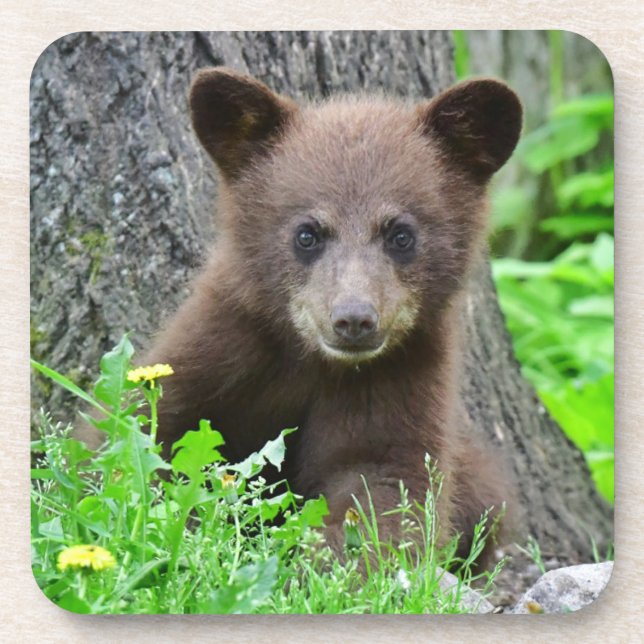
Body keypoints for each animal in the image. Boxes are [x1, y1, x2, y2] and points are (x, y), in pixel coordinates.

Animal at [144, 67, 523, 561]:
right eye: (307, 233)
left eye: (401, 234)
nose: (354, 319)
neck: (312, 360)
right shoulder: (222, 345)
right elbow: (153, 430)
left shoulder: (400, 377)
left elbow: (384, 483)